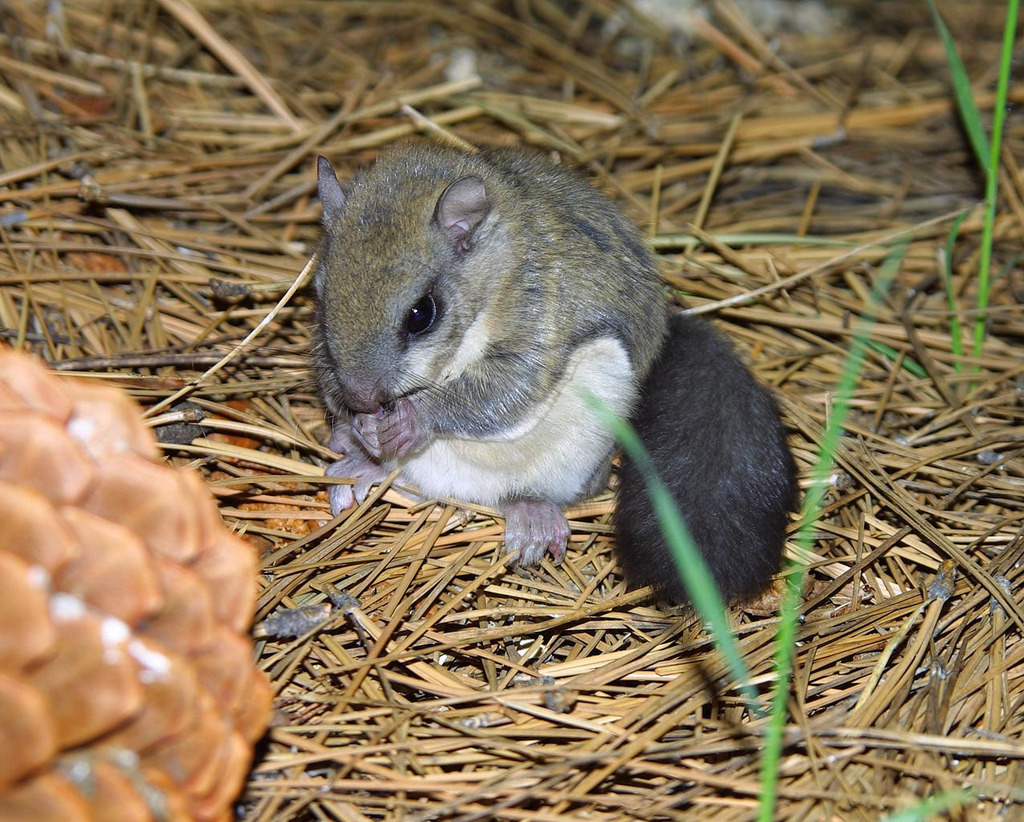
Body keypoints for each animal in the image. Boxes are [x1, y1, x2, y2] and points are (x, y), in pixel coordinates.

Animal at [312, 143, 796, 604]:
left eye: (421, 314)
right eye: (319, 293)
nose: (362, 397)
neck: (495, 263)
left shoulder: (540, 305)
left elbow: (508, 388)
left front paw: (413, 419)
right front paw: (359, 427)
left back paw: (532, 513)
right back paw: (362, 466)